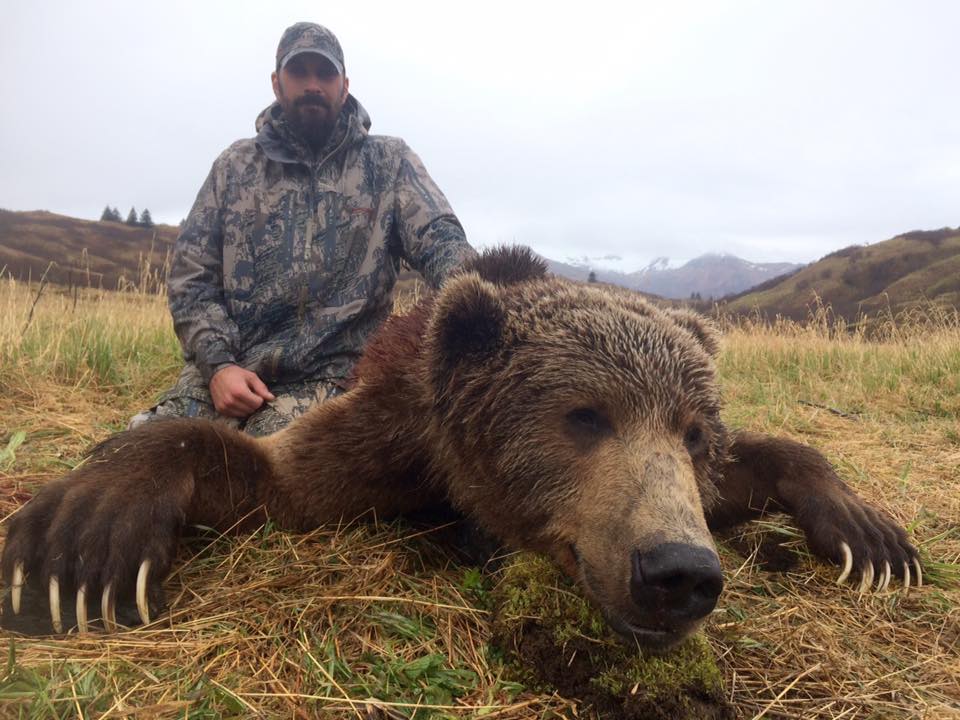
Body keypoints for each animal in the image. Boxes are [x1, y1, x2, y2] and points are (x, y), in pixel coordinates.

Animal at [1, 246, 920, 646]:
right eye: (585, 416)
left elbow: (770, 463)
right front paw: (80, 538)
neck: (459, 483)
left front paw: (874, 538)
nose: (678, 571)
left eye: (694, 432)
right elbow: (271, 477)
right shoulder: (396, 431)